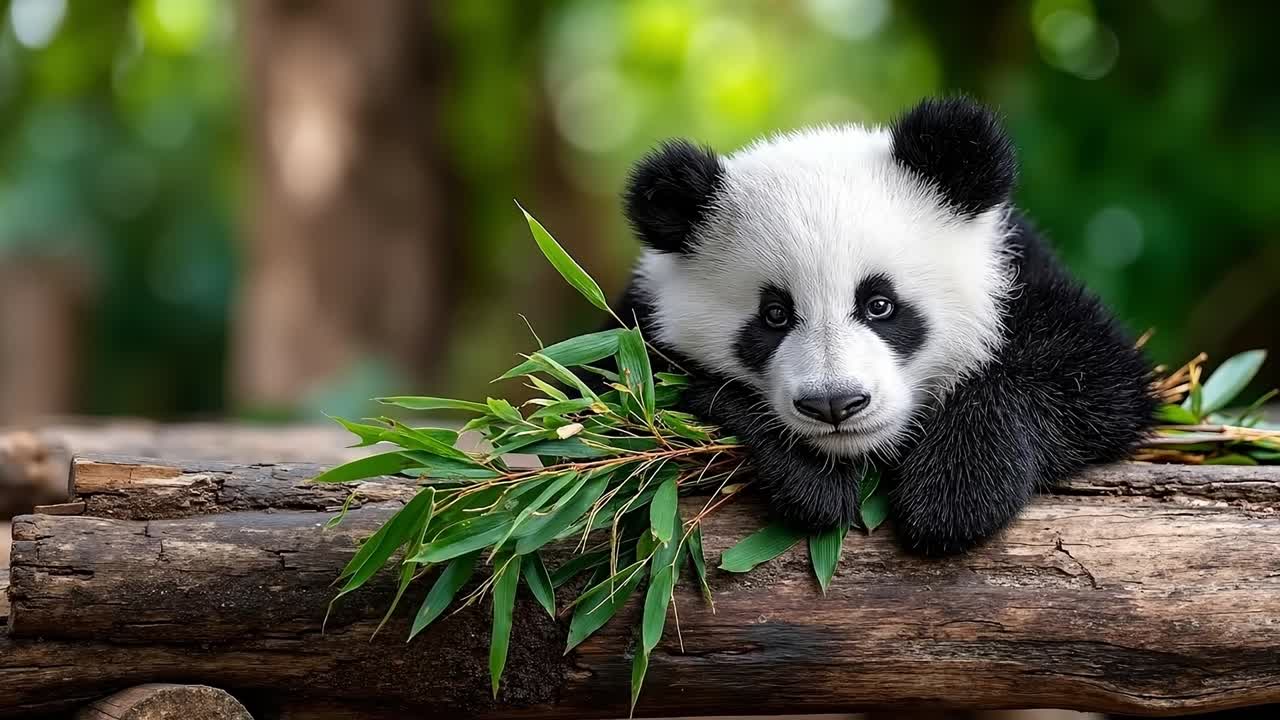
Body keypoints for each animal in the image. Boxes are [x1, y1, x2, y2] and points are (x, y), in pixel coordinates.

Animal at [614, 96, 1156, 555]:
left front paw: (956, 493)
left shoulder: (1022, 276)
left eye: (879, 305)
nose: (834, 405)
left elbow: (1094, 382)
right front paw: (810, 479)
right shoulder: (637, 319)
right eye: (774, 315)